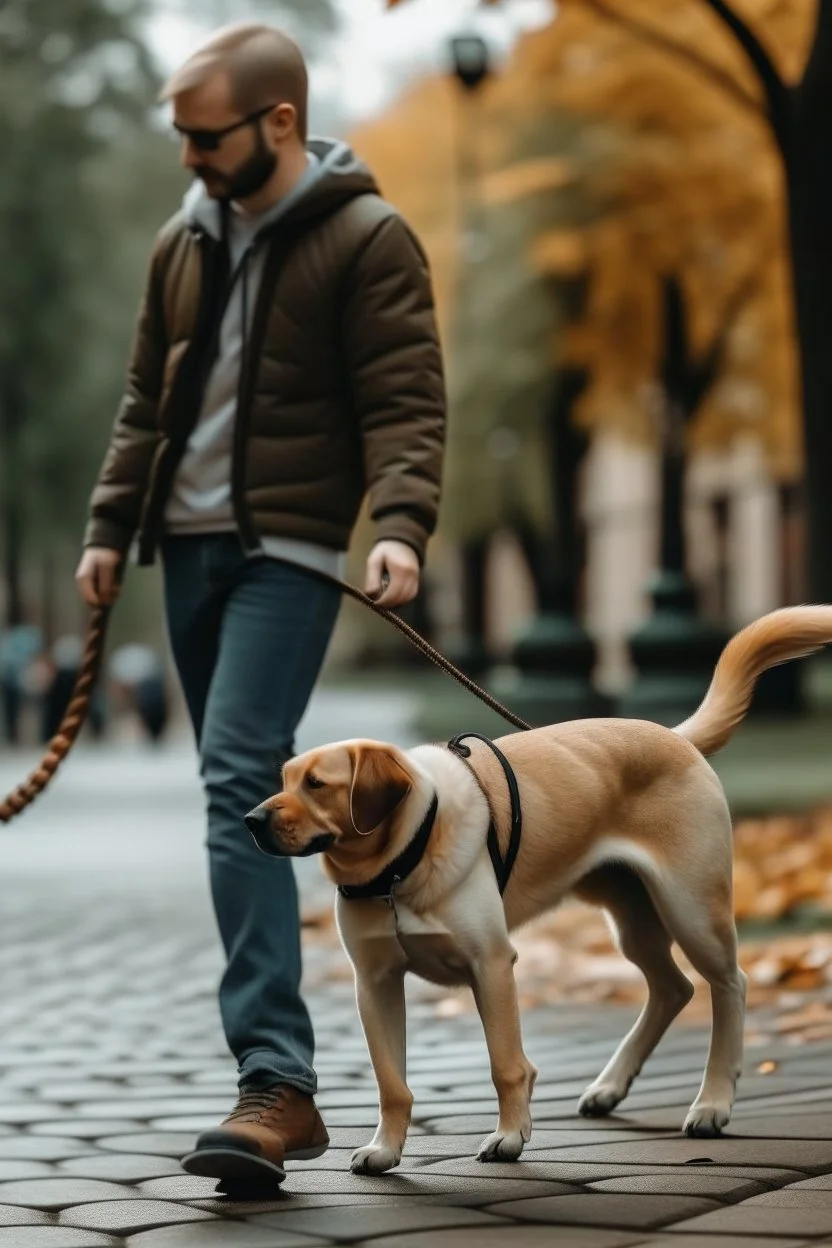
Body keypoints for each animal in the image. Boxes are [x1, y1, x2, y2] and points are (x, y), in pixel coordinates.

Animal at [241, 609, 832, 1173]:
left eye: (317, 785)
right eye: (284, 781)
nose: (250, 820)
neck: (400, 864)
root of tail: (677, 736)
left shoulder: (492, 965)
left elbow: (506, 1064)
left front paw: (509, 1136)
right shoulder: (375, 984)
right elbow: (392, 1084)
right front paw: (385, 1149)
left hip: (691, 909)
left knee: (730, 985)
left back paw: (712, 1102)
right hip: (632, 918)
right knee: (673, 988)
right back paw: (611, 1086)